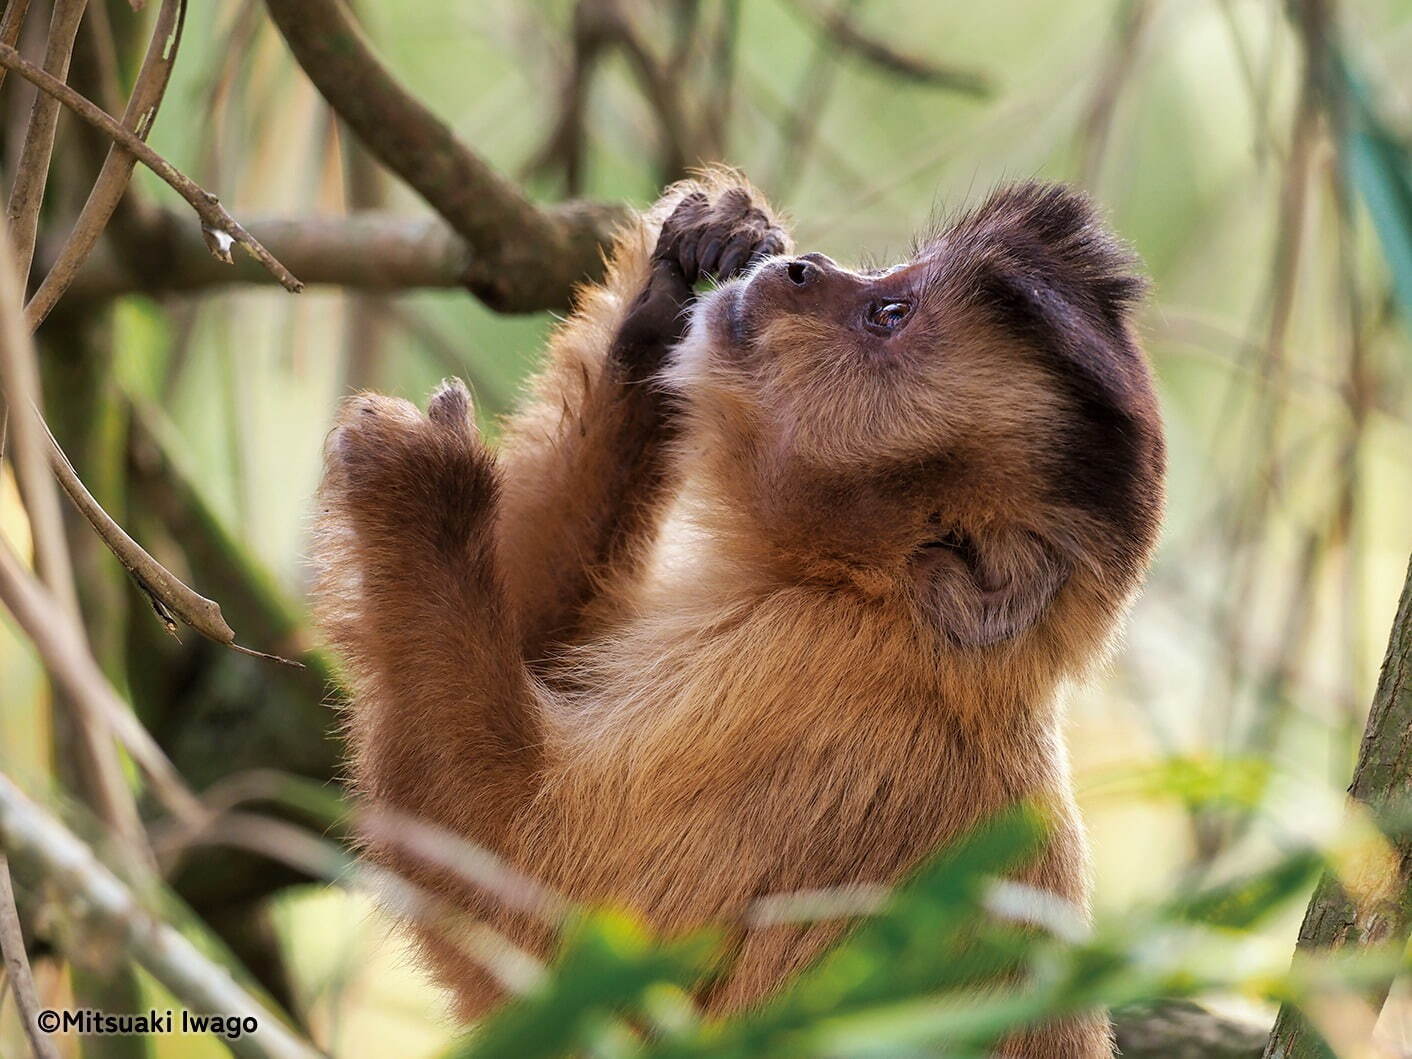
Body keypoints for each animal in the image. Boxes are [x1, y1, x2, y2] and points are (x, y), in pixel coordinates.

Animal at [314, 170, 1163, 1056]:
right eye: (892, 278)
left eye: (888, 315)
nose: (804, 268)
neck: (879, 599)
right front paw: (668, 292)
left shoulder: (811, 684)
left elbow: (560, 941)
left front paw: (427, 490)